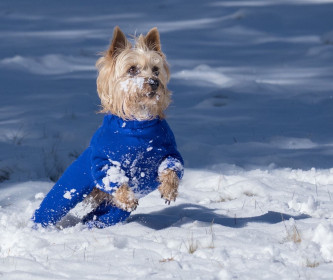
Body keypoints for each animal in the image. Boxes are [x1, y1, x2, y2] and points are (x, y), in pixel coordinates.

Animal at [33, 25, 184, 228]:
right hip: (71, 185)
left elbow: (171, 167)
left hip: (111, 212)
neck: (137, 125)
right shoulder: (103, 163)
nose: (154, 82)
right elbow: (115, 178)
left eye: (156, 70)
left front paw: (168, 189)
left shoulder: (169, 152)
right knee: (52, 205)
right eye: (132, 69)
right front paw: (127, 198)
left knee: (97, 218)